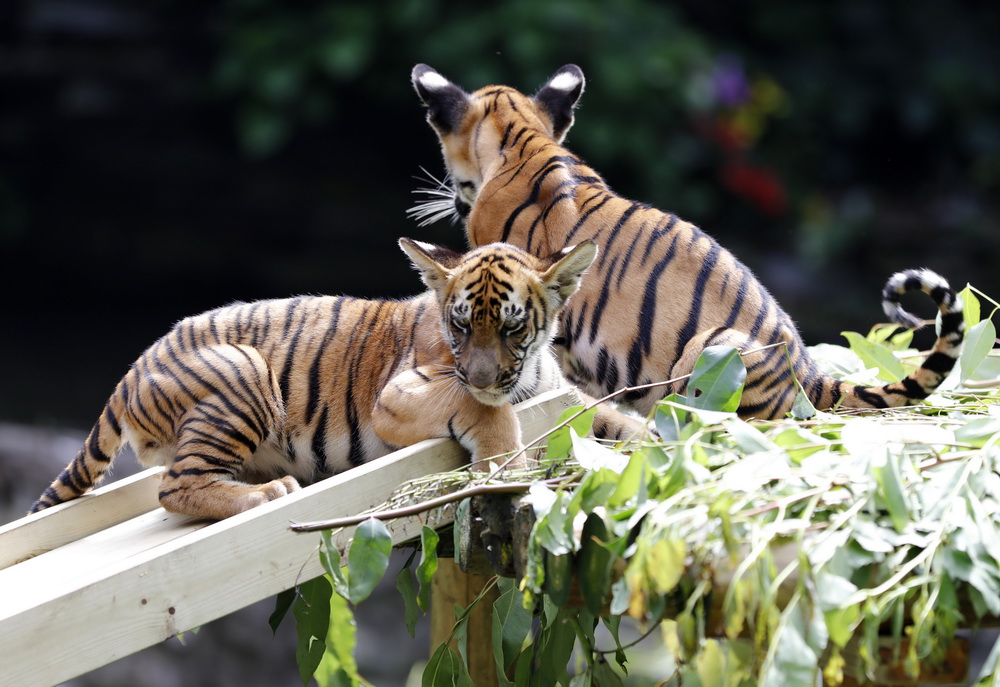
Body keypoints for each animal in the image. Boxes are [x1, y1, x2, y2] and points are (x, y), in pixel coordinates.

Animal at [30, 238, 645, 520]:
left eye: (513, 327)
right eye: (460, 325)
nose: (481, 374)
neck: (527, 370)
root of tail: (132, 369)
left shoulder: (558, 391)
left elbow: (610, 416)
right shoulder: (398, 395)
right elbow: (483, 410)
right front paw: (504, 467)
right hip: (244, 373)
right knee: (175, 486)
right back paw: (268, 493)